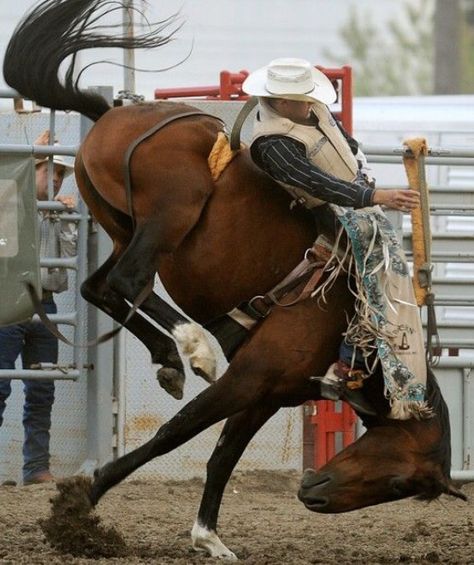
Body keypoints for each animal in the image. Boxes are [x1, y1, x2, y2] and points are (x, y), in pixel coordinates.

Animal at [2, 0, 462, 556]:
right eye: (398, 483)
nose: (313, 494)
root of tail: (118, 111)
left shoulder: (266, 392)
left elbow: (223, 454)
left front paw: (208, 536)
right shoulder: (248, 378)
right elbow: (172, 435)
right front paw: (79, 504)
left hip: (122, 226)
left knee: (103, 286)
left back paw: (169, 360)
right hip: (170, 215)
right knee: (129, 281)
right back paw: (193, 347)